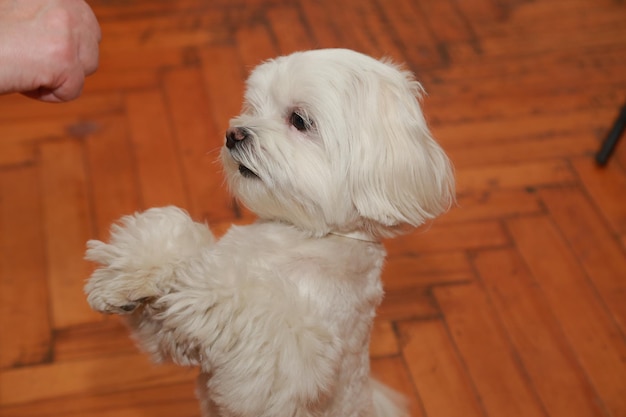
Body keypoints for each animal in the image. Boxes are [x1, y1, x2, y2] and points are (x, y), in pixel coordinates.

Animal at [84, 49, 454, 416]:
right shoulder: (172, 339)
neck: (298, 235)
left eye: (299, 120)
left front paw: (197, 280)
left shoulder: (287, 361)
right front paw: (131, 276)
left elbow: (241, 302)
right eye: (253, 107)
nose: (233, 134)